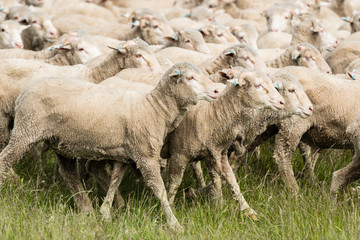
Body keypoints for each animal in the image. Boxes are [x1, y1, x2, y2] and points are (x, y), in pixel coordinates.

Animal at [0, 61, 222, 231]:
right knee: (4, 161)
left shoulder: (126, 155)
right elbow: (160, 190)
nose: (216, 90)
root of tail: (23, 94)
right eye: (190, 78)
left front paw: (106, 212)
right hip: (26, 131)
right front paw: (174, 224)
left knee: (70, 175)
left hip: (61, 143)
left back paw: (86, 209)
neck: (154, 109)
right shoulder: (145, 156)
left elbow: (115, 180)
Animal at [165, 67, 286, 219]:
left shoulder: (217, 154)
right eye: (258, 85)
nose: (282, 102)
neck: (211, 113)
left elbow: (228, 181)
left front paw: (243, 210)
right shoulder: (178, 156)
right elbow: (174, 184)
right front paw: (171, 210)